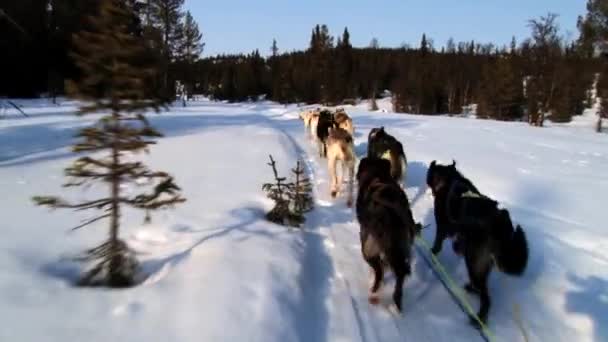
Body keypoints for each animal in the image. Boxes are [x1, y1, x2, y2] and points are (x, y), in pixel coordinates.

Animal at [354, 158, 420, 312]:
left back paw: (375, 289)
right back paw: (397, 304)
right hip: (401, 247)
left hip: (368, 248)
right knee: (400, 275)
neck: (377, 175)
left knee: (379, 271)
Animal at [426, 160, 528, 326]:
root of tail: (499, 224)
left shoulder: (442, 226)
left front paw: (432, 253)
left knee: (486, 298)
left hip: (474, 263)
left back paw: (478, 319)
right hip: (481, 265)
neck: (449, 179)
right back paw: (472, 290)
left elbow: (437, 245)